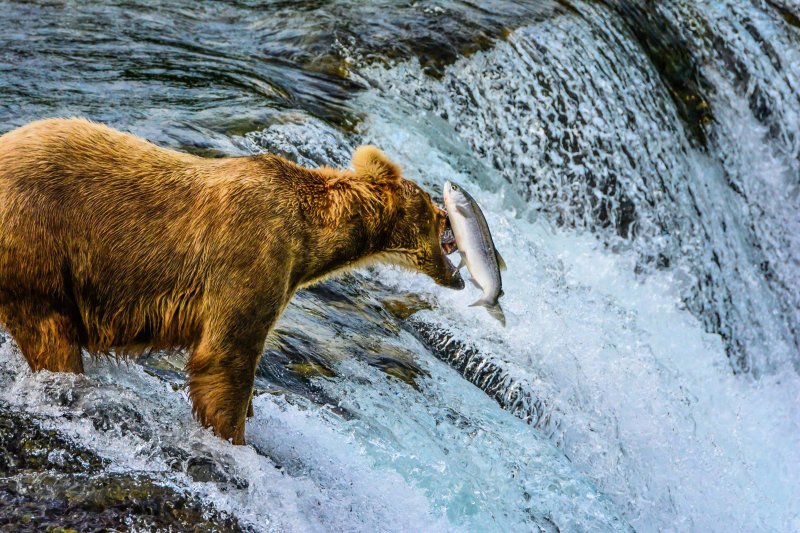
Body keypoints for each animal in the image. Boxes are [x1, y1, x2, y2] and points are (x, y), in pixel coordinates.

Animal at [0, 117, 462, 444]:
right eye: (429, 204)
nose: (447, 216)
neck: (309, 239)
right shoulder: (252, 256)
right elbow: (226, 357)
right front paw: (233, 436)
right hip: (36, 241)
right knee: (50, 332)